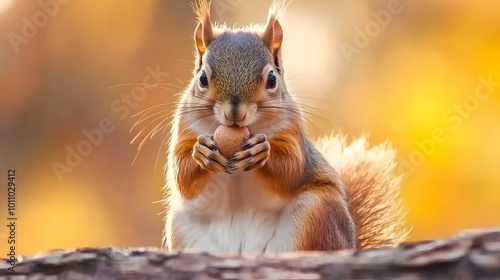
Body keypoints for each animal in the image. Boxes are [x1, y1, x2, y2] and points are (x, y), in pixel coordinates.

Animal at [162, 0, 408, 254]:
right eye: (202, 78)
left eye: (272, 79)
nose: (235, 113)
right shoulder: (184, 128)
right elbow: (181, 174)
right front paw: (202, 152)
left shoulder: (292, 131)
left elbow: (291, 166)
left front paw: (261, 151)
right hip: (181, 227)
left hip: (317, 212)